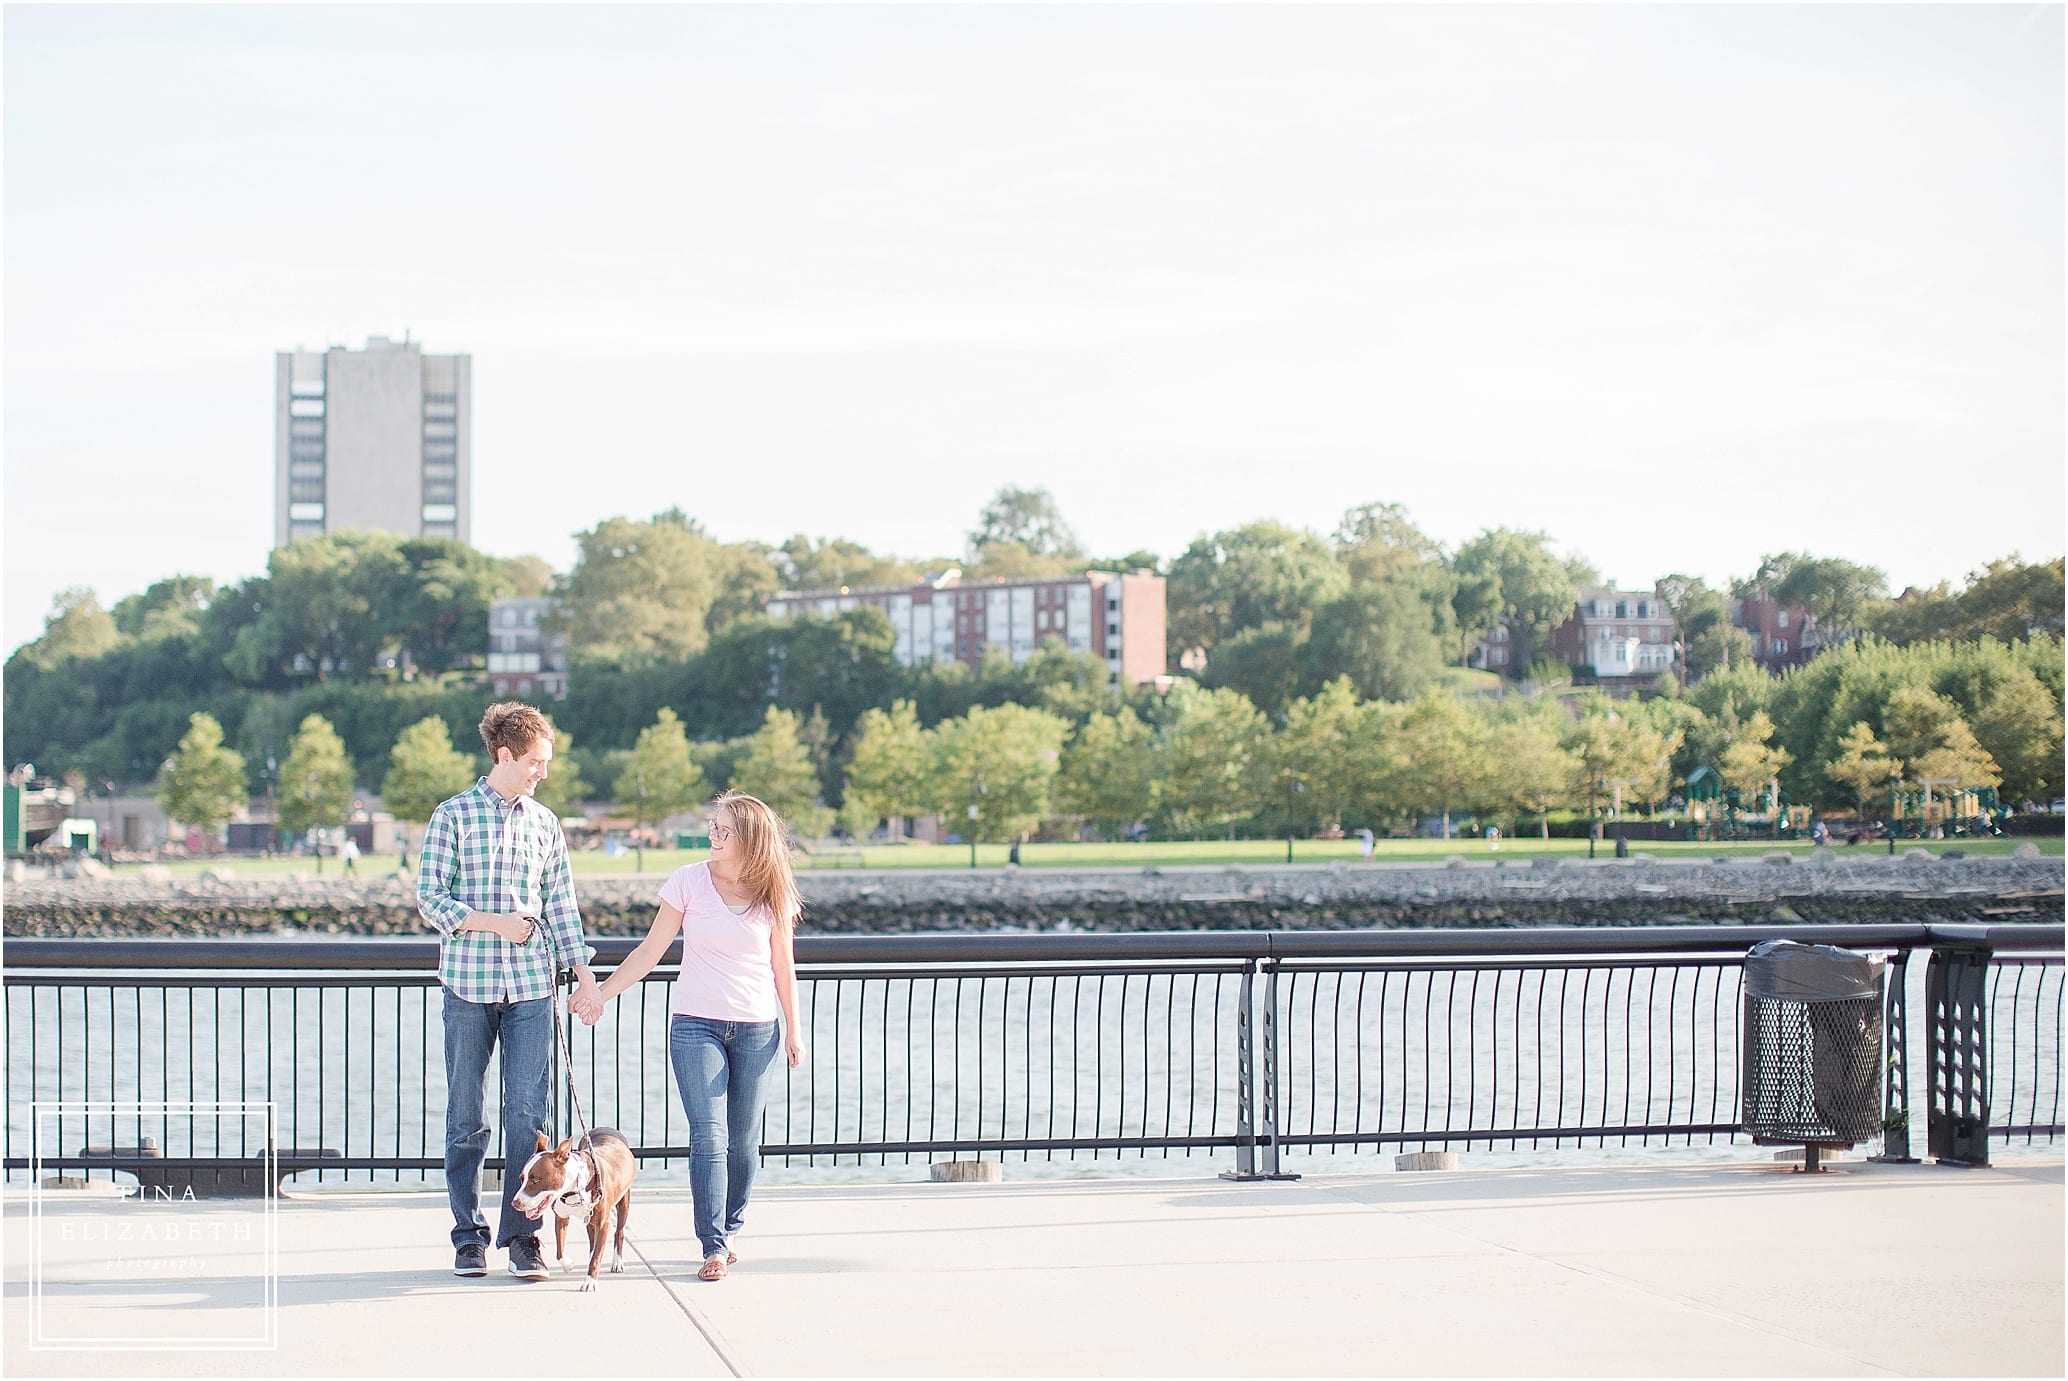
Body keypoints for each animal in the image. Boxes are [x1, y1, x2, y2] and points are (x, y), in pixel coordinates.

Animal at [510, 1124, 632, 1290]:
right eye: (521, 1178)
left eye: (536, 1180)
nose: (515, 1203)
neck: (573, 1189)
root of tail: (607, 1128)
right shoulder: (561, 1217)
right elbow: (560, 1252)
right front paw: (568, 1264)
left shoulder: (603, 1224)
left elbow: (597, 1257)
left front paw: (590, 1281)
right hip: (590, 1219)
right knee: (592, 1240)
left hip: (624, 1202)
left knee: (619, 1232)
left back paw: (617, 1262)